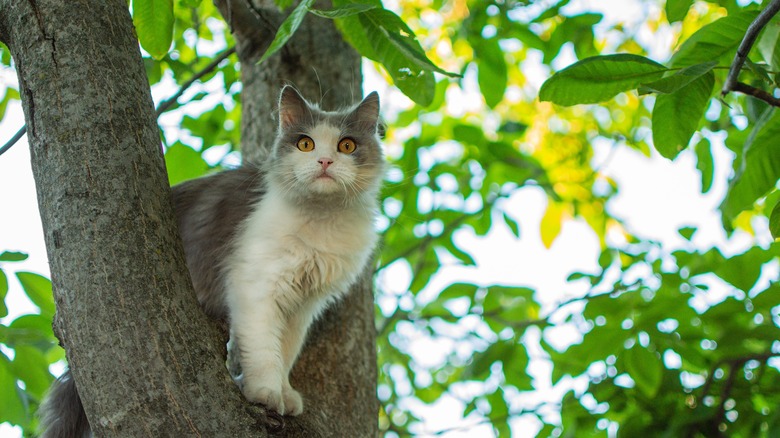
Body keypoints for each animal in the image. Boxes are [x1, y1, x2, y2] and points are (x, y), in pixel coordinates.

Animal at [38, 84, 386, 434]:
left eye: (346, 145)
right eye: (305, 143)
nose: (325, 160)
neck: (323, 218)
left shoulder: (303, 303)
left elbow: (286, 350)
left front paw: (285, 392)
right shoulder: (255, 284)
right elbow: (264, 349)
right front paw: (266, 392)